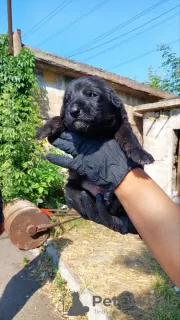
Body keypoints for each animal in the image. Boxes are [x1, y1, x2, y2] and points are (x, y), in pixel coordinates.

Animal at [37, 76, 154, 234]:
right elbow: (59, 118)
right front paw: (44, 128)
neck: (94, 131)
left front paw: (141, 154)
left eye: (92, 95)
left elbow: (129, 137)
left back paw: (108, 199)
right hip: (71, 188)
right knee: (81, 200)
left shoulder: (121, 124)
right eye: (68, 100)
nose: (73, 111)